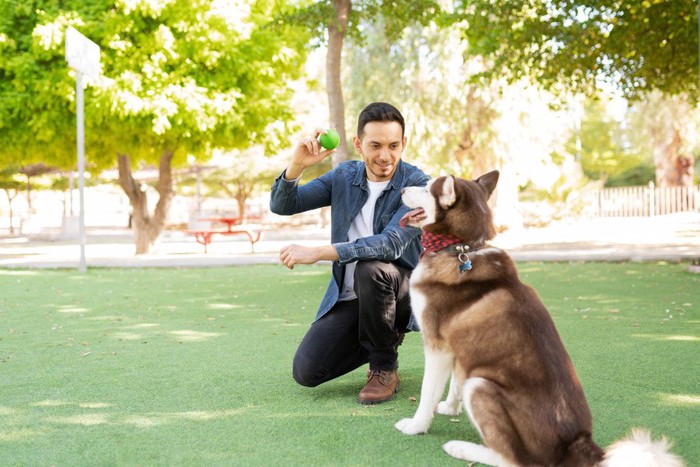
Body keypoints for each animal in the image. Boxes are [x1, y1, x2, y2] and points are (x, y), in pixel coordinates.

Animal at [394, 173, 684, 467]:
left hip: (480, 386)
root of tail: (576, 442)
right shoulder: (459, 347)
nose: (402, 189)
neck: (460, 249)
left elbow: (427, 392)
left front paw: (416, 426)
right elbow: (454, 384)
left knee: (512, 459)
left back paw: (461, 448)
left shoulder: (437, 345)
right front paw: (450, 408)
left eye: (426, 188)